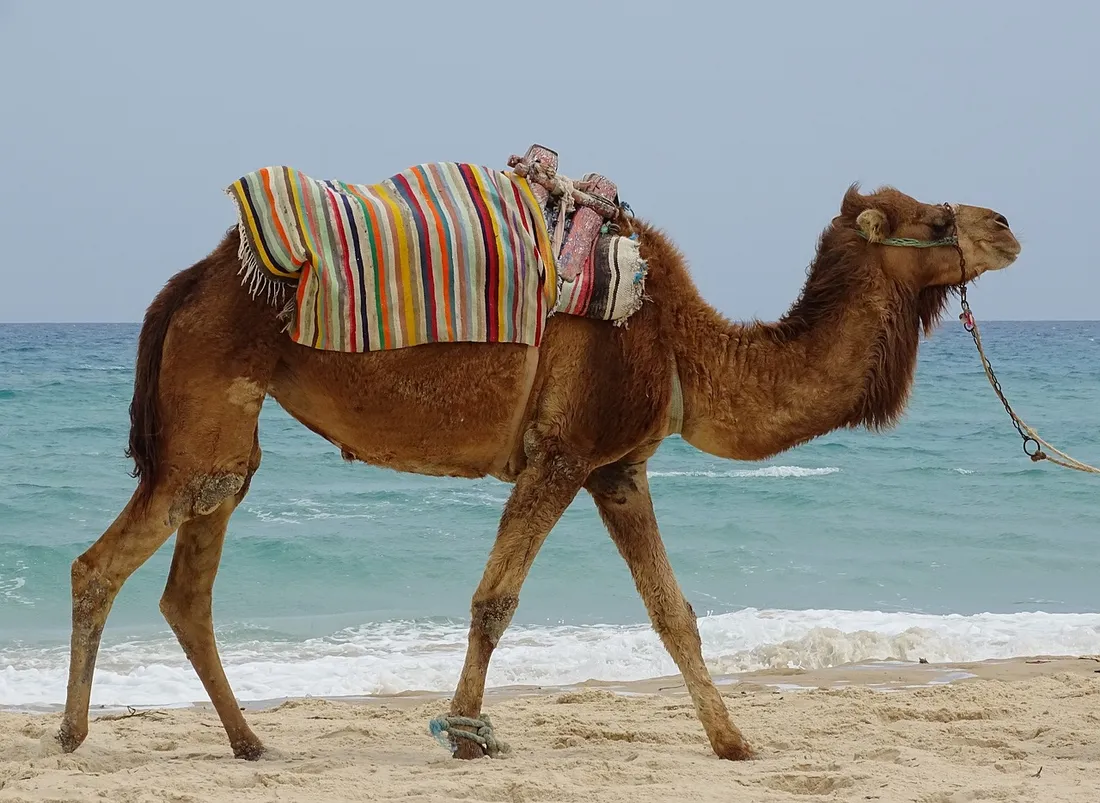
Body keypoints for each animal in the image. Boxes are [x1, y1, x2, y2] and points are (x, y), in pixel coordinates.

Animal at [53, 178, 1012, 761]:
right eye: (933, 220)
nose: (1004, 224)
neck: (681, 346)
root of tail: (190, 281)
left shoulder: (618, 468)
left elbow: (675, 613)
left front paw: (735, 741)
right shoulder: (563, 453)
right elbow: (496, 599)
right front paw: (467, 733)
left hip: (227, 431)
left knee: (189, 585)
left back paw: (250, 742)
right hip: (208, 405)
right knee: (101, 562)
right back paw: (70, 734)